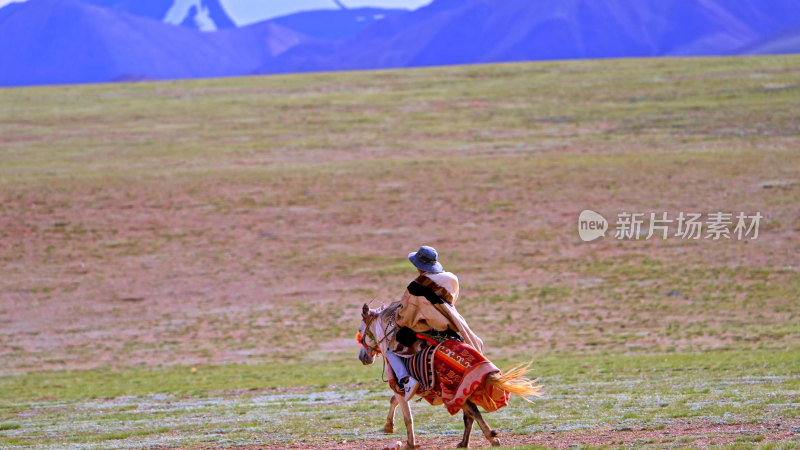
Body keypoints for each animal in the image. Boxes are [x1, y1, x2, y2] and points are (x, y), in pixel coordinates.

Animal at [358, 304, 540, 448]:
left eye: (360, 331)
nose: (362, 357)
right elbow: (394, 402)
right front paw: (389, 428)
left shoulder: (399, 386)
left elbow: (406, 415)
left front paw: (407, 442)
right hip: (462, 390)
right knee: (470, 415)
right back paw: (465, 443)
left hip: (453, 389)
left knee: (473, 413)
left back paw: (490, 439)